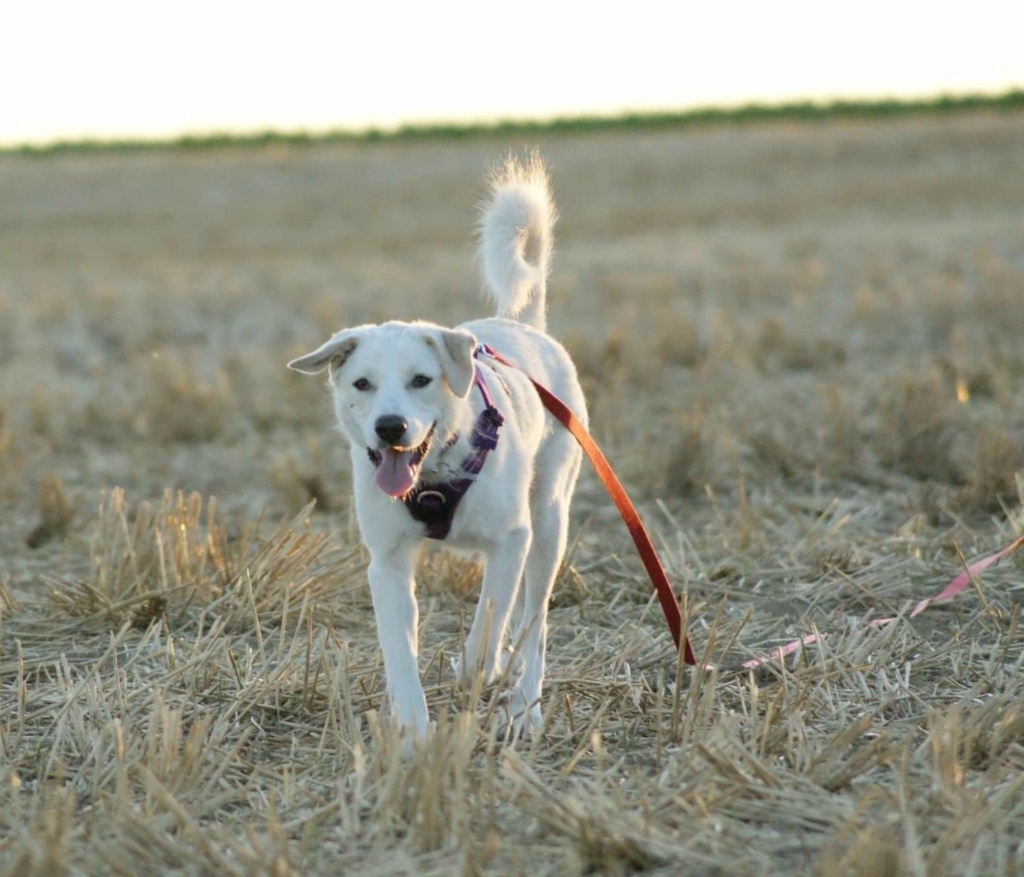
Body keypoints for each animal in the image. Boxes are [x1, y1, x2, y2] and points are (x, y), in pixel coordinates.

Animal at [292, 153, 589, 737]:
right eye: (362, 384)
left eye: (421, 380)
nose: (389, 428)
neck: (434, 475)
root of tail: (527, 327)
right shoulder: (386, 563)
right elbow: (399, 654)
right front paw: (412, 731)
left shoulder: (512, 540)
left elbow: (489, 627)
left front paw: (481, 670)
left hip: (548, 522)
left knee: (534, 623)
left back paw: (524, 704)